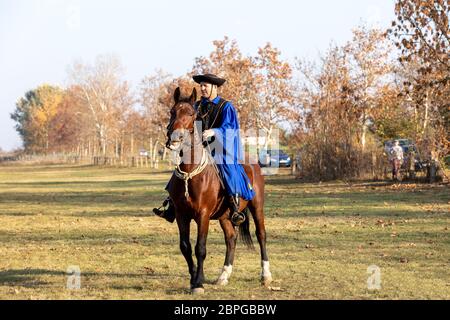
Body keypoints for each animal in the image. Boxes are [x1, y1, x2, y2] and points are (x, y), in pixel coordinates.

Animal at [164, 86, 272, 294]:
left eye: (190, 113)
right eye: (172, 112)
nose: (174, 139)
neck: (191, 173)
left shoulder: (203, 215)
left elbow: (200, 248)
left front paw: (198, 283)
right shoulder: (181, 215)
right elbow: (185, 247)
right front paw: (194, 278)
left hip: (257, 207)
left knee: (261, 235)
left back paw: (266, 275)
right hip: (225, 216)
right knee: (231, 238)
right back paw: (224, 275)